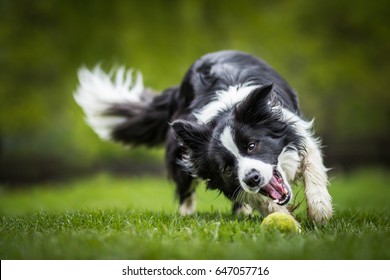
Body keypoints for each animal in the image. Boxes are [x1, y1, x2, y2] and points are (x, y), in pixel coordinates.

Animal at [75, 50, 332, 223]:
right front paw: (280, 215)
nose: (252, 178)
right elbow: (257, 197)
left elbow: (313, 167)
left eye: (252, 145)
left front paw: (320, 211)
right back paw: (187, 215)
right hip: (180, 148)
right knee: (185, 188)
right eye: (227, 168)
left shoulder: (297, 130)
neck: (227, 109)